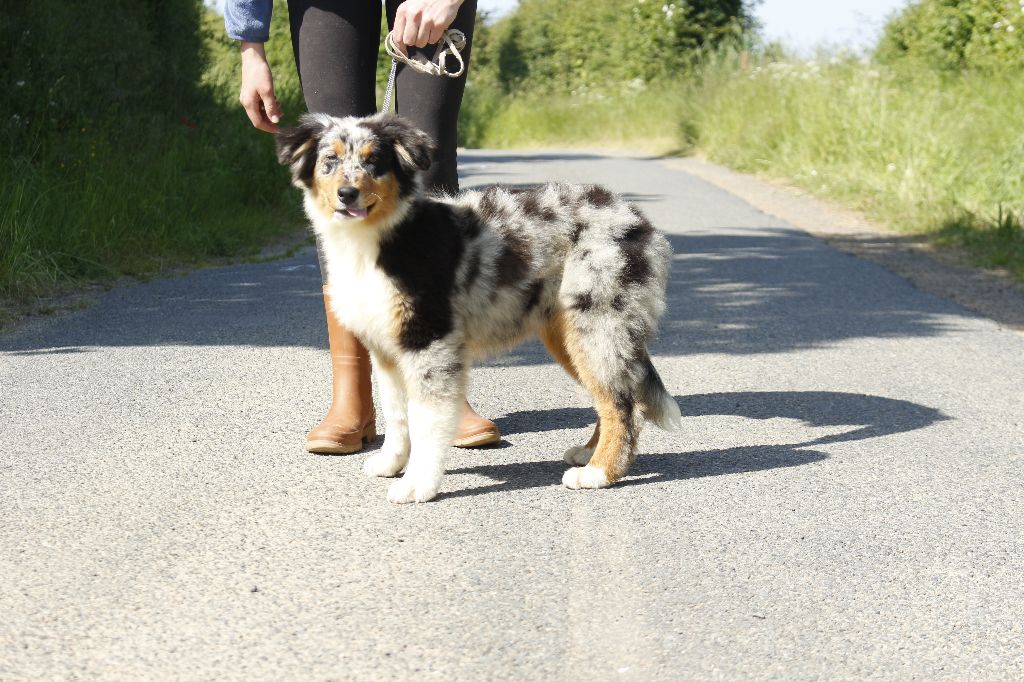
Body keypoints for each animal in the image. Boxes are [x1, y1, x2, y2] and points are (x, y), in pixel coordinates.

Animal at [276, 114, 684, 501]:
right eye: (329, 161)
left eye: (374, 161)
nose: (348, 193)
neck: (378, 239)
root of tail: (637, 220)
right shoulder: (387, 349)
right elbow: (396, 414)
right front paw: (391, 463)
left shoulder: (430, 343)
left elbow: (425, 423)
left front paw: (417, 485)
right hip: (569, 334)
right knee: (611, 397)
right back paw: (589, 455)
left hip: (598, 324)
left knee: (622, 404)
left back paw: (599, 473)